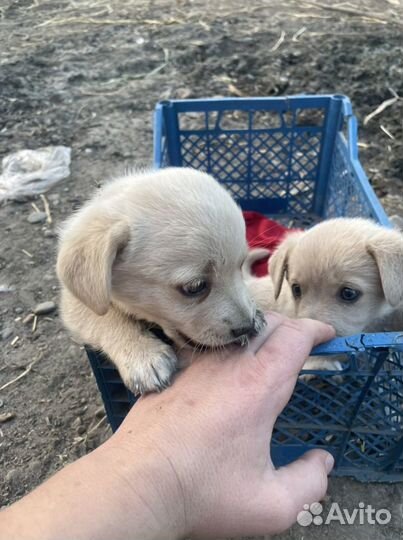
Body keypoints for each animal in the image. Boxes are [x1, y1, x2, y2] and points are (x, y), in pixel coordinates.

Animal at [56, 168, 266, 392]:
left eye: (240, 265)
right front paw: (143, 355)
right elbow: (104, 316)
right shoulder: (74, 301)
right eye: (195, 287)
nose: (247, 326)